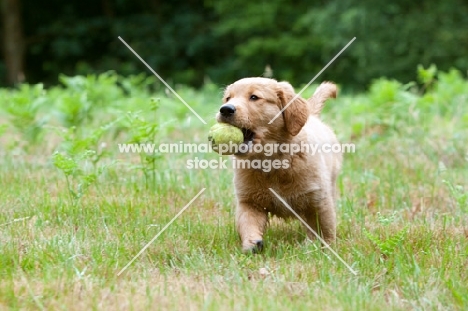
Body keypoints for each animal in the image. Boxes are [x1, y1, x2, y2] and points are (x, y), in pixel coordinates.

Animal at [218, 78, 342, 254]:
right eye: (228, 98)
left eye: (254, 97)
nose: (225, 109)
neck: (271, 161)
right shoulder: (249, 201)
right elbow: (247, 222)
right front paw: (251, 244)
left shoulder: (319, 198)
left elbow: (324, 227)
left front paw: (327, 249)